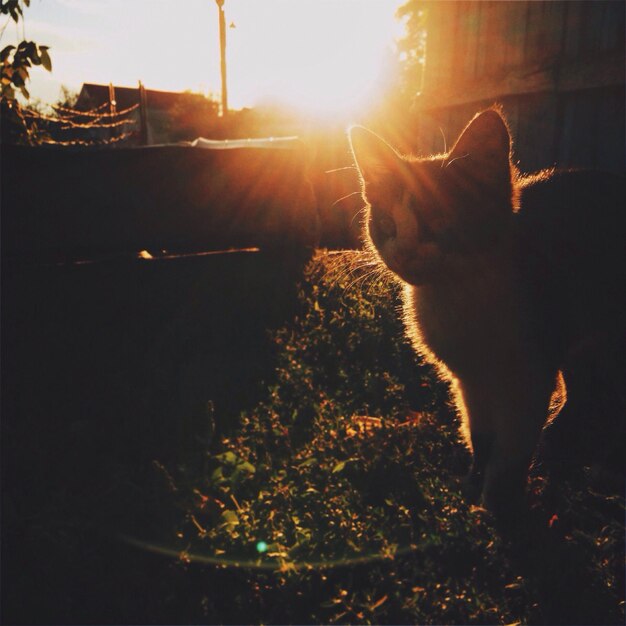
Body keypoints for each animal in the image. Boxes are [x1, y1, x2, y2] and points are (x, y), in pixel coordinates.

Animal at [348, 109, 620, 520]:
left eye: (436, 221)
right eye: (387, 226)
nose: (405, 253)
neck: (459, 299)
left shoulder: (529, 374)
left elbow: (511, 449)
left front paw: (501, 509)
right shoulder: (468, 380)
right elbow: (481, 435)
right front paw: (474, 490)